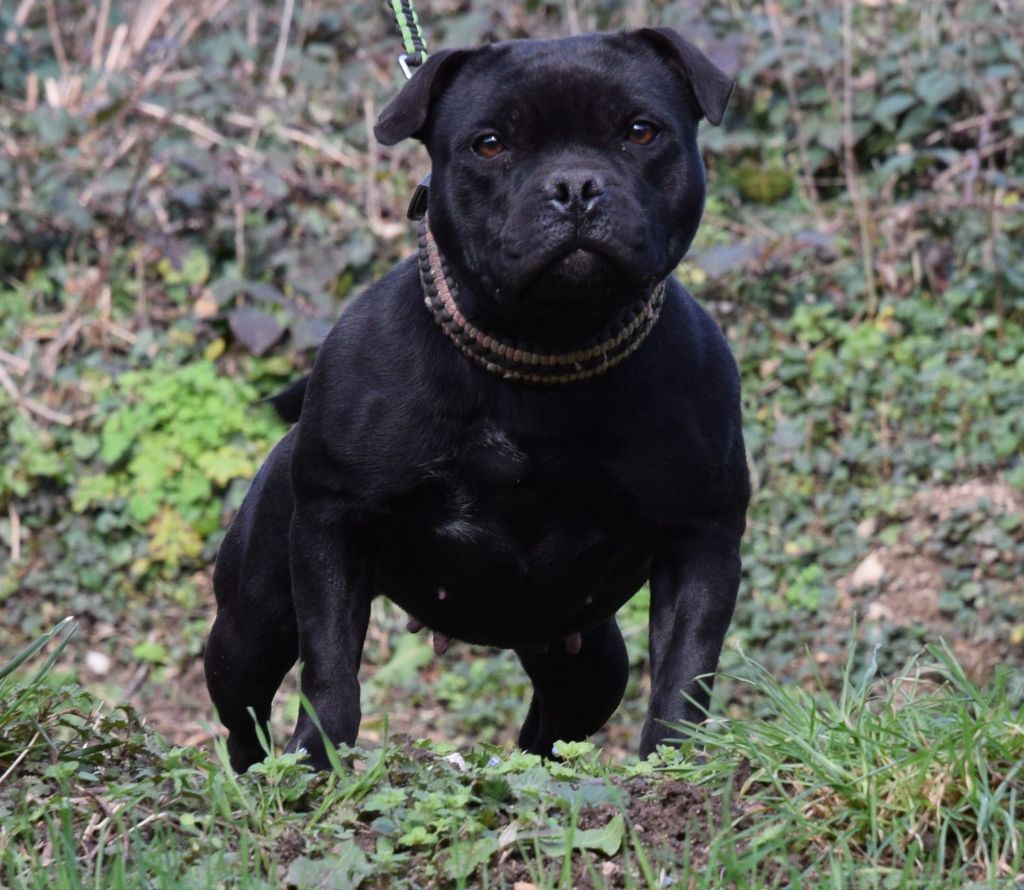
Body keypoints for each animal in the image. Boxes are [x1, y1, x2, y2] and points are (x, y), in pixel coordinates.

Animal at [205, 29, 753, 770]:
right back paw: (258, 771)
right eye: (489, 144)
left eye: (641, 131)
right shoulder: (332, 524)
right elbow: (330, 671)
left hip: (586, 661)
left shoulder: (704, 538)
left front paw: (675, 764)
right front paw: (319, 762)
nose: (574, 186)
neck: (540, 349)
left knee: (553, 726)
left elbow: (685, 673)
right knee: (244, 707)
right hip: (249, 626)